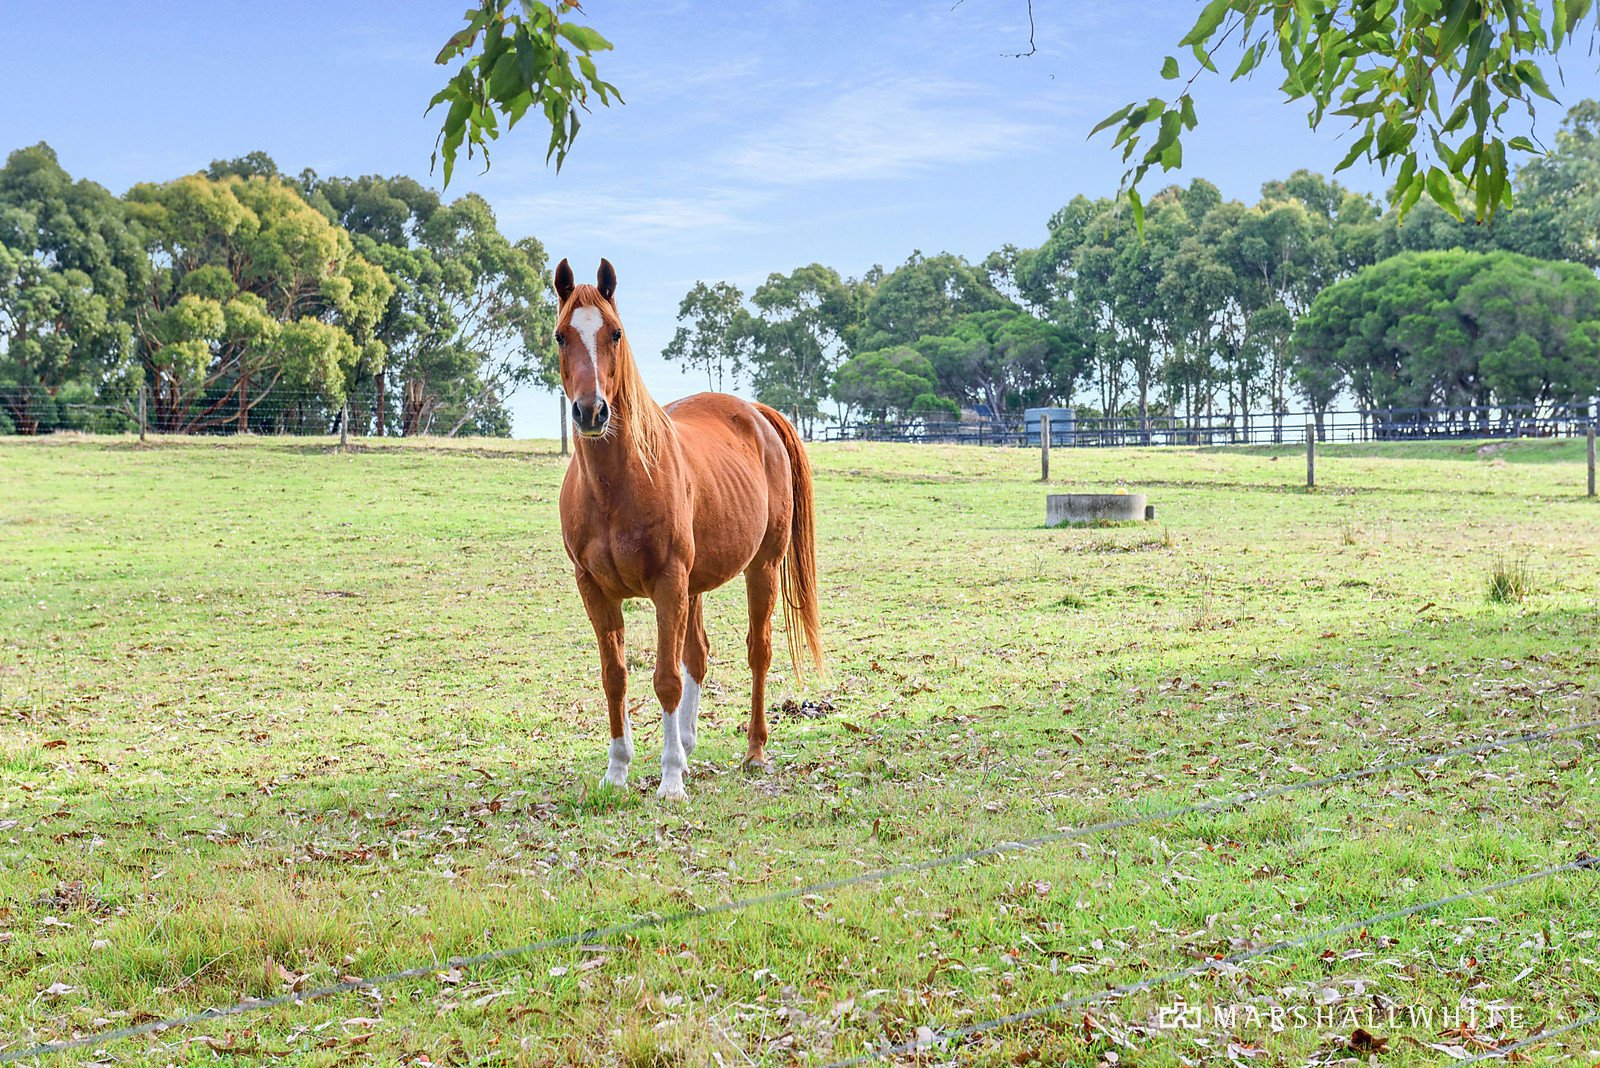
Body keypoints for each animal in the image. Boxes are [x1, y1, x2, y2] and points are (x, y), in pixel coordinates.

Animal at [553, 259, 825, 799]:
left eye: (616, 333)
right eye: (560, 336)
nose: (591, 411)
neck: (617, 486)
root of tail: (758, 414)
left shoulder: (667, 584)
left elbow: (665, 680)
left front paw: (671, 779)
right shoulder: (594, 589)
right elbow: (615, 676)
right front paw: (618, 770)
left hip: (760, 568)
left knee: (757, 653)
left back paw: (754, 751)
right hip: (695, 586)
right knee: (698, 654)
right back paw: (688, 738)